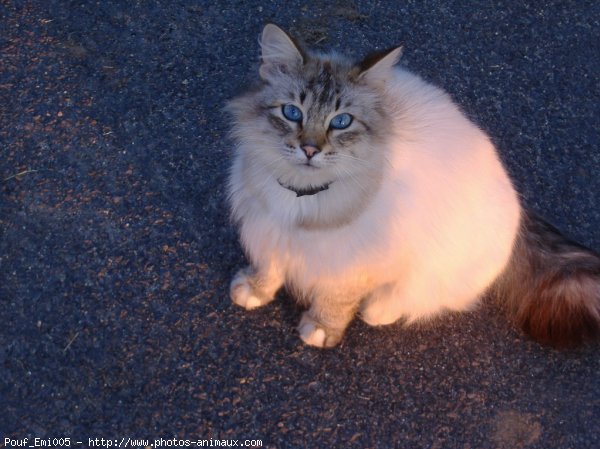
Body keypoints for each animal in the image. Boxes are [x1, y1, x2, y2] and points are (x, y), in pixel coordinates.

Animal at [226, 22, 600, 348]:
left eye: (341, 121)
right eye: (292, 113)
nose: (309, 150)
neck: (303, 193)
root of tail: (520, 212)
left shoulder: (354, 261)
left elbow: (337, 298)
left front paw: (321, 328)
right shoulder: (269, 228)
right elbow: (269, 265)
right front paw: (255, 290)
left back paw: (379, 309)